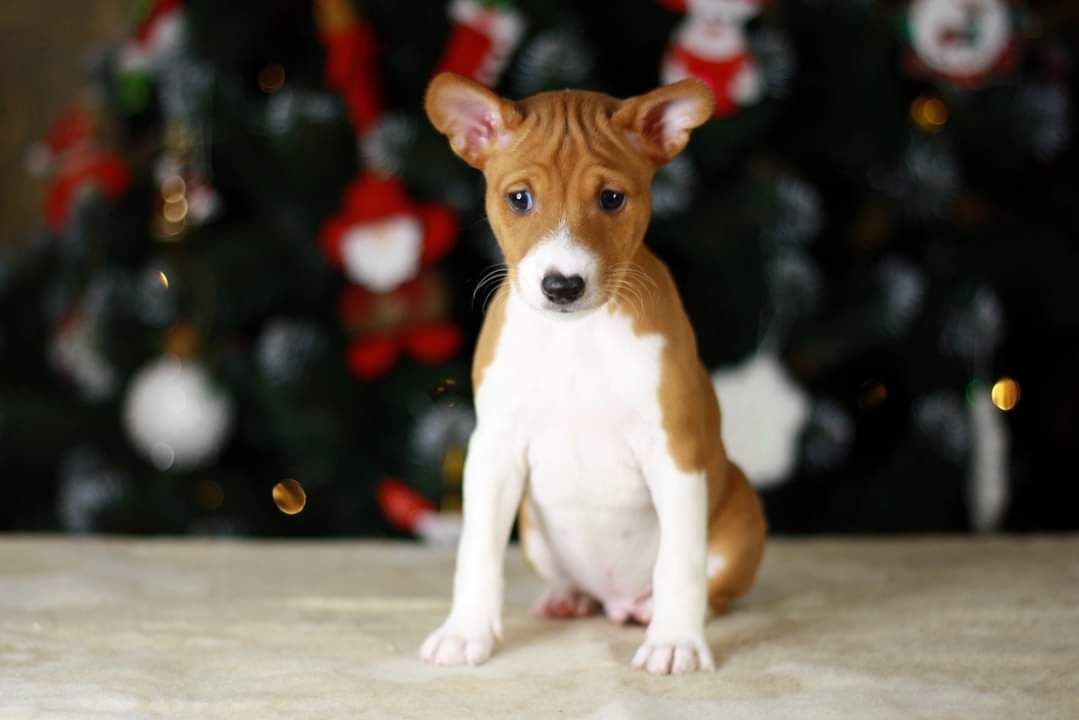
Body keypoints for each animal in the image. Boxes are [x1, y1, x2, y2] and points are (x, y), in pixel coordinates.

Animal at [416, 70, 763, 673]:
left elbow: (680, 563)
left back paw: (653, 613)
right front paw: (466, 631)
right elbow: (476, 552)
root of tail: (614, 595)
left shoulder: (675, 450)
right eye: (520, 198)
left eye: (611, 198)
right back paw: (569, 598)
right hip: (533, 528)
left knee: (704, 585)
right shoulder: (494, 451)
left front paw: (675, 641)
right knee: (574, 583)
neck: (574, 338)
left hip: (741, 509)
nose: (562, 285)